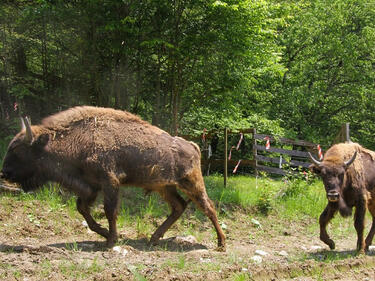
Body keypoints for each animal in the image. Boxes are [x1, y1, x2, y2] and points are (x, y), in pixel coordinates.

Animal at [0, 105, 226, 249]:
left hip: (192, 183)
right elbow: (83, 210)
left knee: (208, 207)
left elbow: (110, 211)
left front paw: (110, 241)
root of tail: (193, 145)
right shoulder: (90, 187)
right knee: (179, 207)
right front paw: (105, 234)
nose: (4, 172)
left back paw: (221, 243)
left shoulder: (109, 182)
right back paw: (153, 239)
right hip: (165, 187)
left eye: (18, 150)